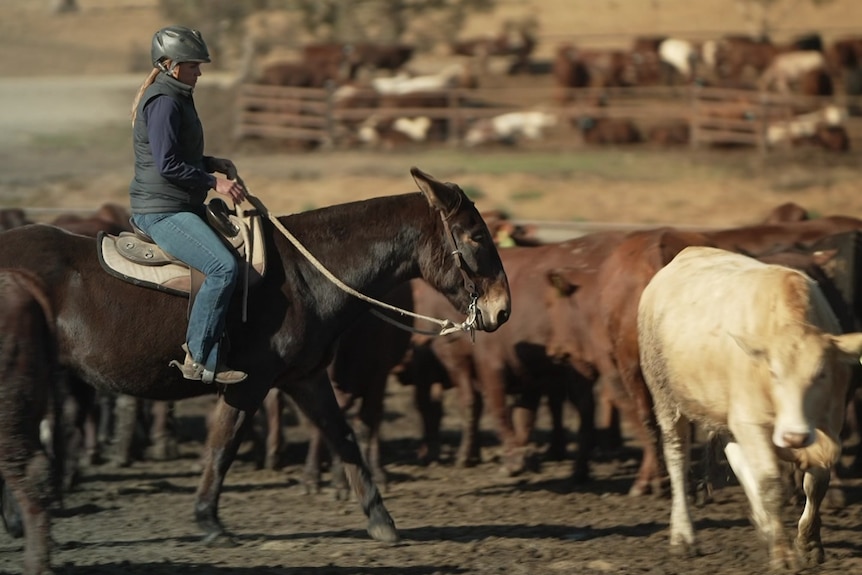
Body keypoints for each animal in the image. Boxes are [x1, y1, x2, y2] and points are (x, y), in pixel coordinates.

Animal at [636, 246, 862, 572]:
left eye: (821, 373)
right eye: (774, 373)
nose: (794, 437)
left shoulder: (828, 424)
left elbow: (816, 483)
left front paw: (809, 543)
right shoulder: (751, 421)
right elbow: (770, 485)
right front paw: (783, 554)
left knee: (736, 455)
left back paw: (763, 523)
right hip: (667, 400)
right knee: (677, 459)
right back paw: (683, 536)